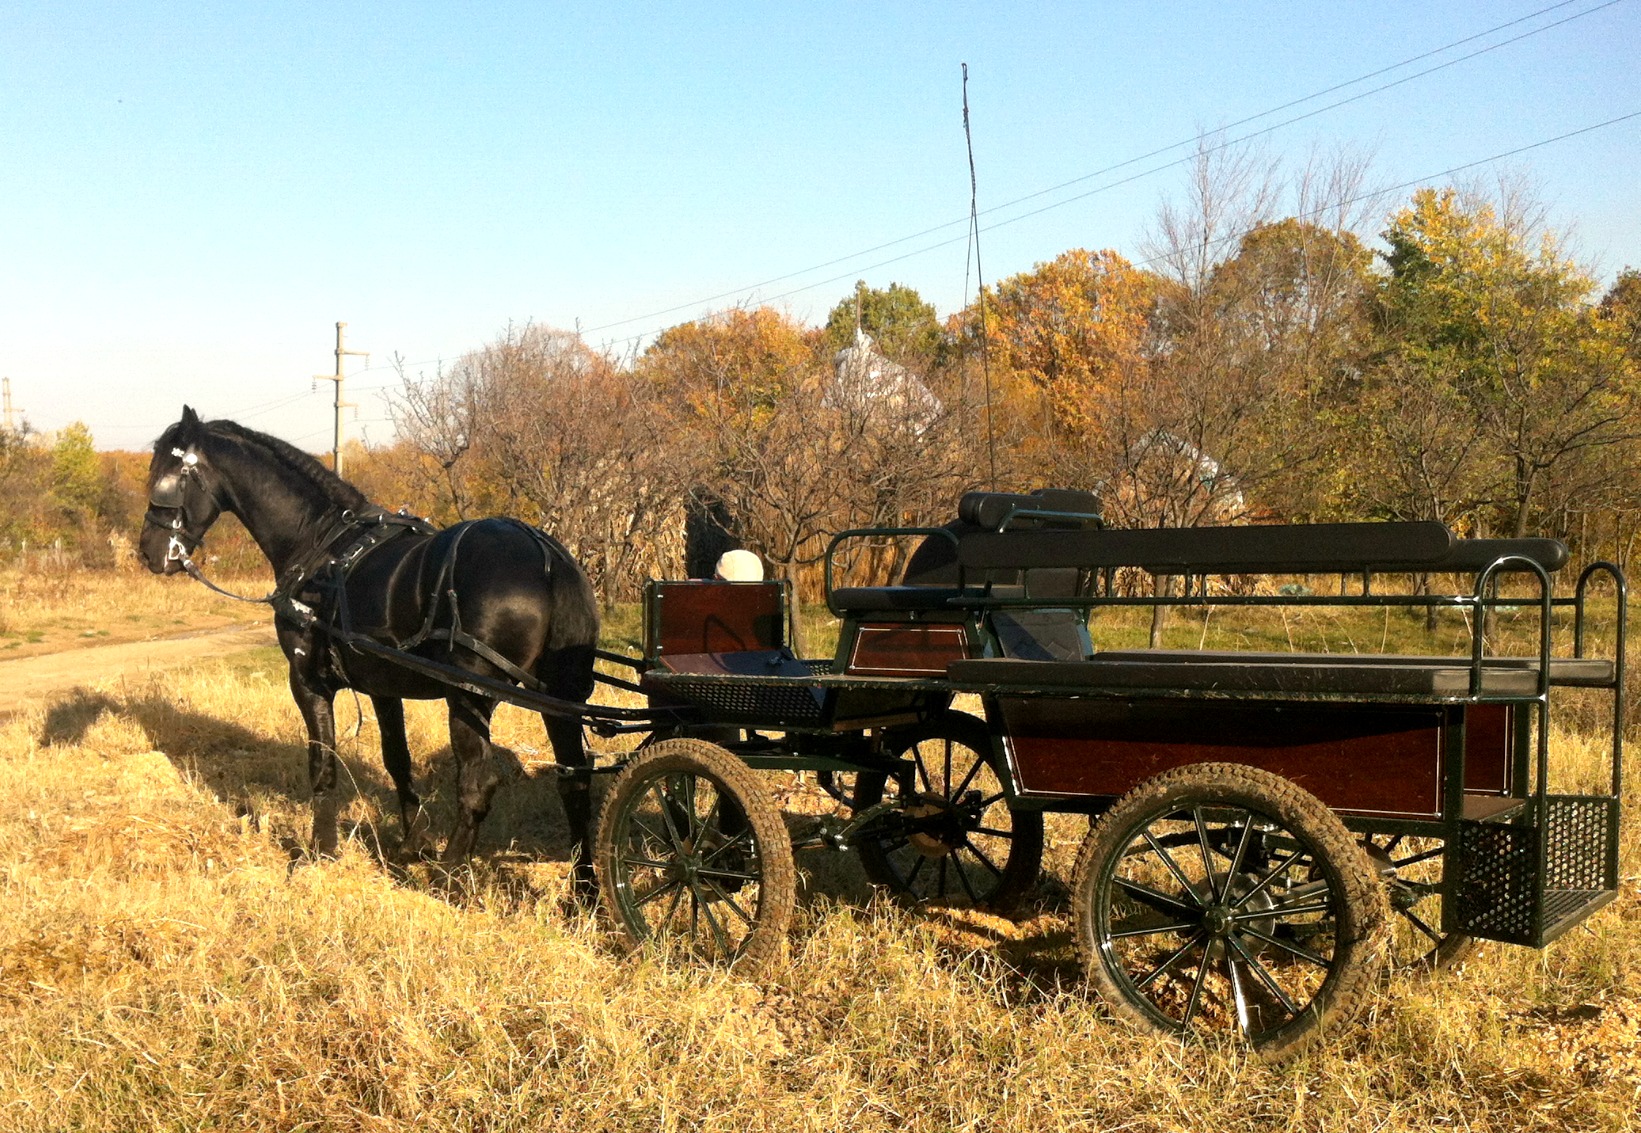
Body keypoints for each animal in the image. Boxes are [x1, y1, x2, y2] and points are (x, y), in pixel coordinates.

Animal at [134, 408, 597, 873]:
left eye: (167, 478)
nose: (148, 552)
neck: (318, 544)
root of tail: (545, 555)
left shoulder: (307, 680)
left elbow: (323, 763)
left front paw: (320, 851)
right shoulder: (382, 688)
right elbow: (397, 760)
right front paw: (412, 843)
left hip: (470, 696)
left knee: (477, 783)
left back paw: (447, 873)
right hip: (560, 696)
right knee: (574, 782)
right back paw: (585, 884)